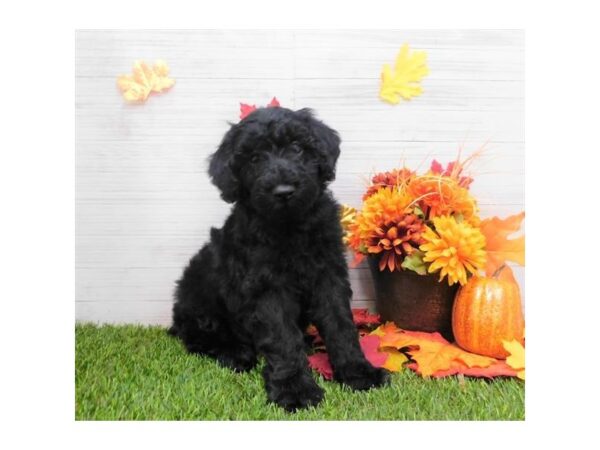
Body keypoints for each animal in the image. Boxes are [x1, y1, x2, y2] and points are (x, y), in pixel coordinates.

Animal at [170, 107, 390, 410]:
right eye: (253, 159)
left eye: (297, 148)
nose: (283, 191)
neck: (290, 225)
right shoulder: (267, 287)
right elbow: (282, 337)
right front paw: (295, 389)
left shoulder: (329, 275)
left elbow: (340, 324)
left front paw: (358, 372)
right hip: (197, 296)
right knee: (199, 338)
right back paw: (235, 353)